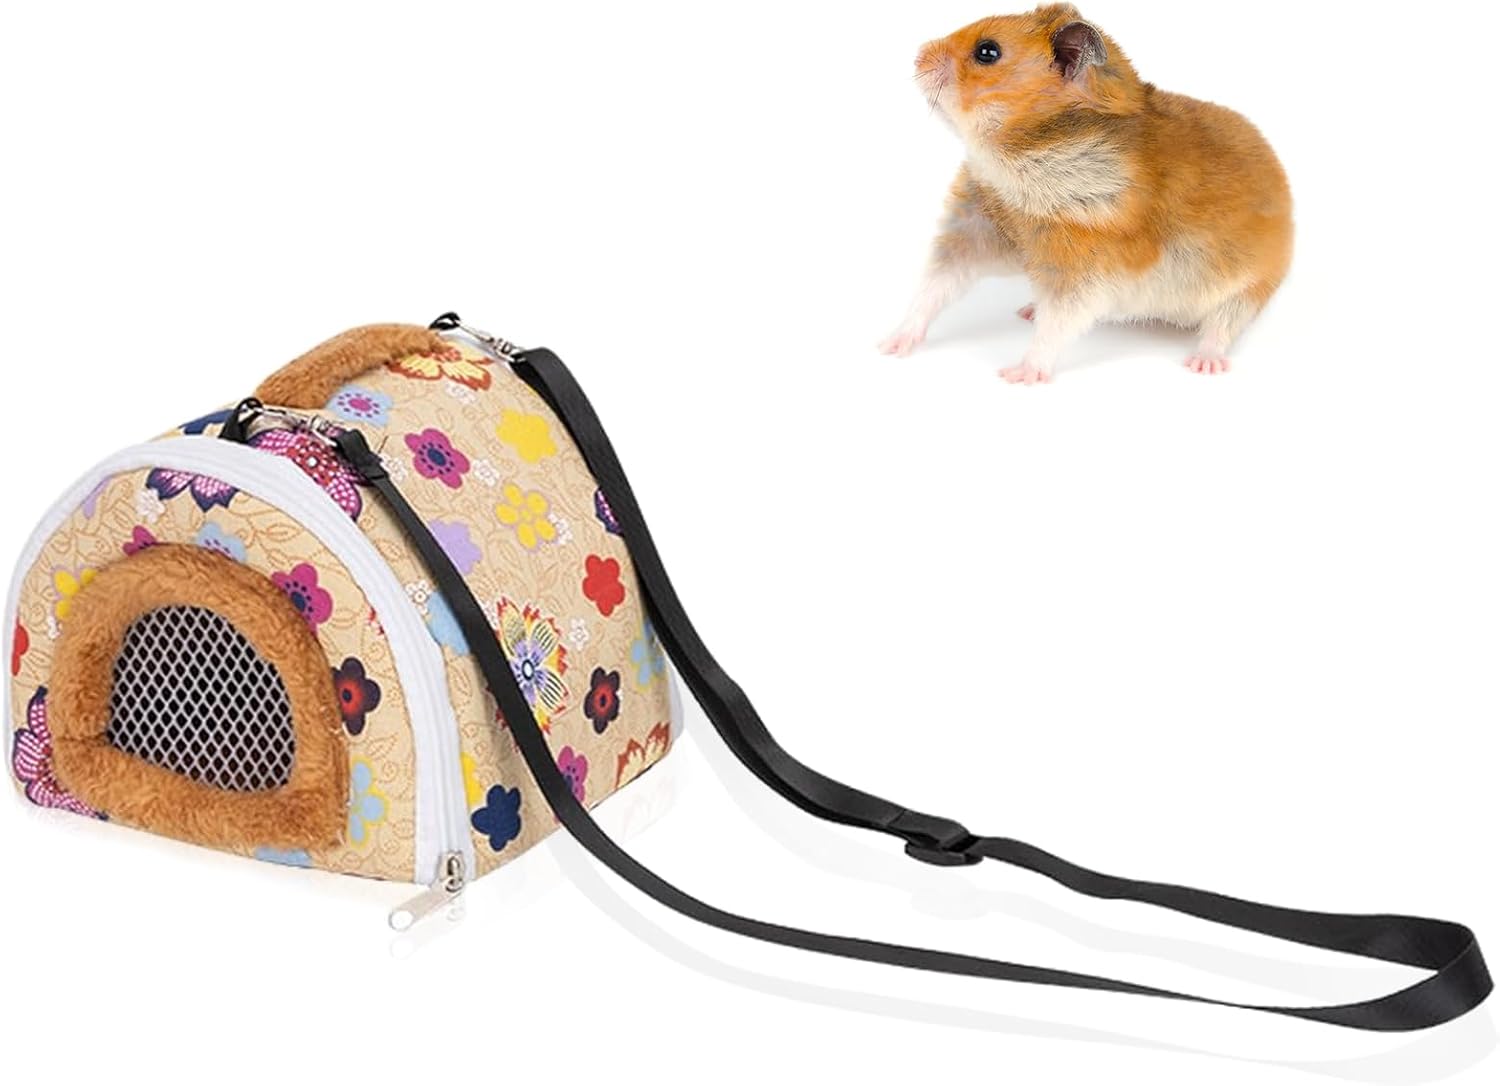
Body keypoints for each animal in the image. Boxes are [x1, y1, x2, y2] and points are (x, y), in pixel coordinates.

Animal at [879, 4, 1293, 382]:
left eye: (987, 52)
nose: (917, 54)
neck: (1017, 158)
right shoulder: (976, 226)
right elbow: (934, 287)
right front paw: (890, 345)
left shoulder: (1084, 266)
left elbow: (1057, 323)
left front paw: (1019, 374)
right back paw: (1027, 310)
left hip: (1249, 288)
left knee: (1222, 326)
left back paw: (1203, 364)